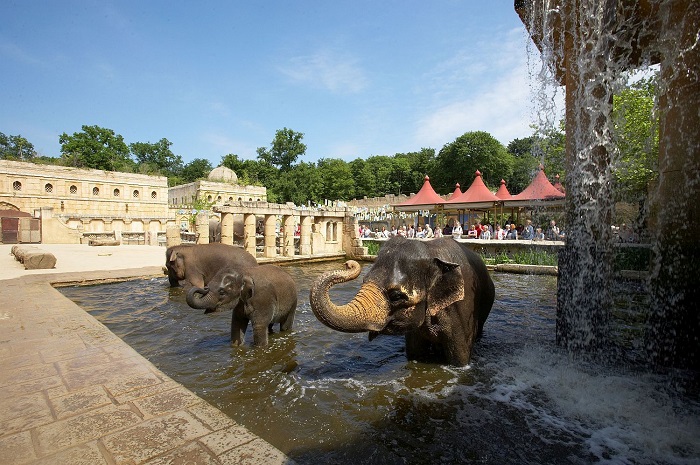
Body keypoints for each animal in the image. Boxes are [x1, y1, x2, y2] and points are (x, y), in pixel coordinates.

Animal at [308, 237, 494, 364]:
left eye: (396, 296)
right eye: (364, 280)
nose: (348, 263)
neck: (431, 250)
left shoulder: (461, 310)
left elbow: (460, 359)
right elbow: (414, 354)